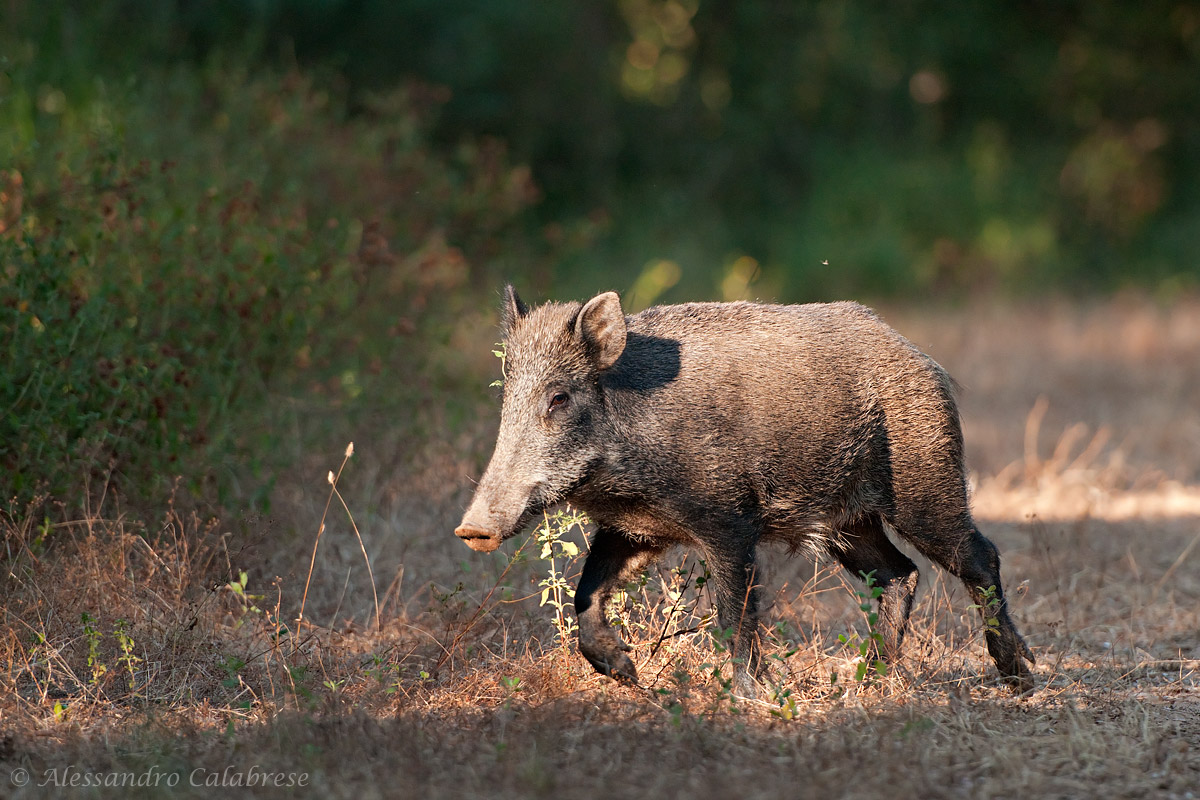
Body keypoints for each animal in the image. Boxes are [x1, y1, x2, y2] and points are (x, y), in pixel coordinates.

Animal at [455, 286, 1035, 696]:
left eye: (558, 398)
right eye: (507, 398)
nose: (471, 529)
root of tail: (925, 361)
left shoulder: (728, 522)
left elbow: (733, 614)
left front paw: (751, 699)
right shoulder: (636, 530)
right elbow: (586, 593)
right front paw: (627, 674)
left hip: (925, 486)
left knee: (979, 556)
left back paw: (1019, 679)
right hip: (848, 524)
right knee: (899, 574)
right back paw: (866, 682)